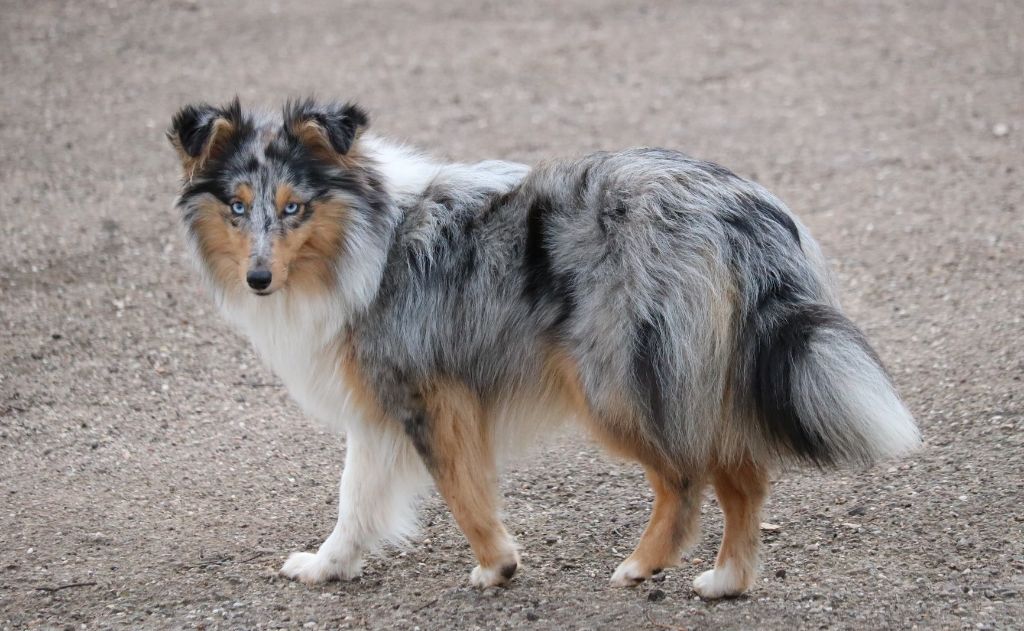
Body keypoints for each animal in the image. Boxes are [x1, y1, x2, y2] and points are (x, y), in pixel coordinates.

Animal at [167, 97, 921, 598]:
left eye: (293, 206)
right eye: (238, 206)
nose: (258, 279)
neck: (365, 237)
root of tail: (740, 208)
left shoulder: (428, 395)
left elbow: (460, 489)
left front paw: (496, 564)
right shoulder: (383, 408)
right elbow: (357, 498)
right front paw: (328, 566)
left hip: (615, 382)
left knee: (687, 477)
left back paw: (644, 565)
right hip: (699, 370)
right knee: (743, 473)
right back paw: (728, 579)